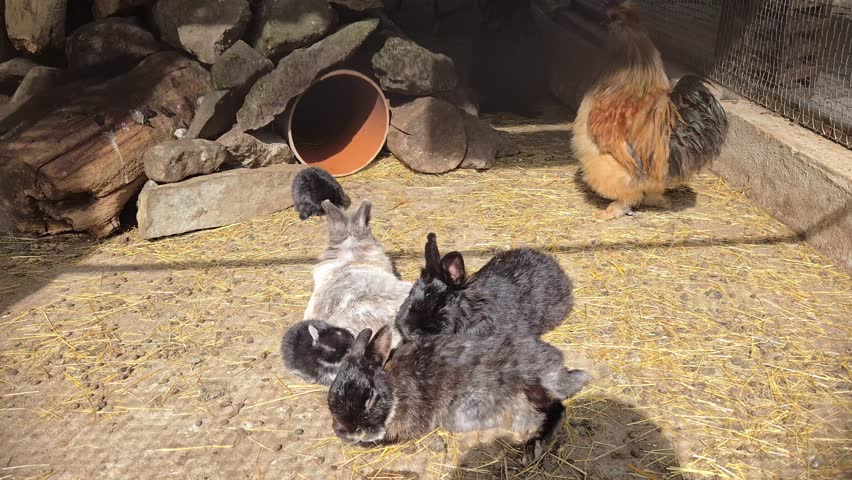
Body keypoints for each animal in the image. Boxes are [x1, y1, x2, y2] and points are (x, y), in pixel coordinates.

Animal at [328, 326, 590, 459]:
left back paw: (533, 447)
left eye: (371, 398)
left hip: (530, 390)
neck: (393, 386)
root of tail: (557, 369)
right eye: (331, 399)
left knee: (558, 408)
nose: (349, 432)